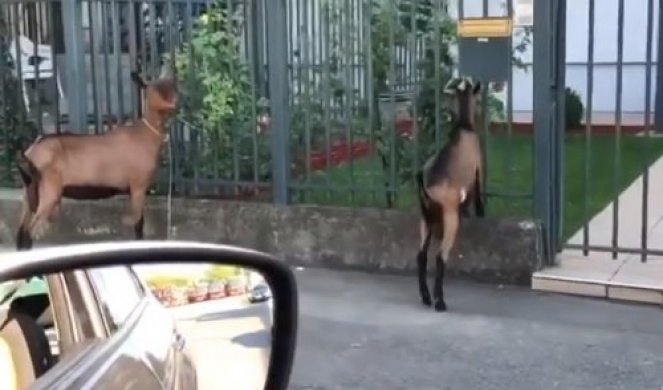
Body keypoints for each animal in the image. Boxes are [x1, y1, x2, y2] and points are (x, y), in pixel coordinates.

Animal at [14, 71, 179, 250]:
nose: (174, 103)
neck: (145, 135)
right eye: (153, 88)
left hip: (29, 193)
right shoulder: (138, 186)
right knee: (30, 232)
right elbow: (138, 224)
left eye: (172, 86)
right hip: (48, 191)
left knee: (22, 234)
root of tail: (29, 153)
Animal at [418, 77, 486, 314]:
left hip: (425, 219)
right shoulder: (478, 170)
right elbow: (478, 196)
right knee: (440, 256)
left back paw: (426, 297)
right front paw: (480, 214)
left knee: (421, 255)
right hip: (448, 216)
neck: (463, 126)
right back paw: (440, 301)